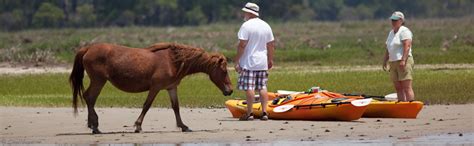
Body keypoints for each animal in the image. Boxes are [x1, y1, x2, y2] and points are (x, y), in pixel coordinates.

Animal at [69, 42, 232, 133]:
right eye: (224, 71)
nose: (229, 90)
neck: (173, 61)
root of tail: (88, 48)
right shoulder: (155, 87)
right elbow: (147, 105)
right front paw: (138, 126)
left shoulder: (171, 88)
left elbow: (176, 107)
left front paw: (183, 126)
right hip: (99, 81)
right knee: (90, 98)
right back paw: (95, 126)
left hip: (98, 81)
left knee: (88, 98)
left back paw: (92, 125)